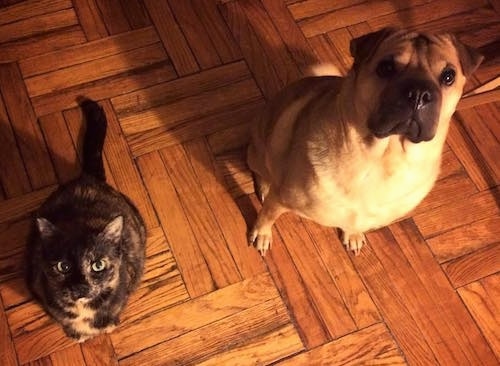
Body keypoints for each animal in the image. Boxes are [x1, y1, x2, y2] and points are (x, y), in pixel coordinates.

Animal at [26, 98, 146, 342]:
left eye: (98, 265)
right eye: (63, 266)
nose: (81, 286)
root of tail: (88, 178)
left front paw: (107, 325)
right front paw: (76, 334)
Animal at [248, 27, 482, 254]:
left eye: (449, 76)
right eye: (386, 68)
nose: (419, 93)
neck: (383, 159)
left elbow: (354, 225)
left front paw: (352, 234)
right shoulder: (280, 200)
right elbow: (267, 216)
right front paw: (262, 234)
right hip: (258, 152)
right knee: (261, 172)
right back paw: (265, 185)